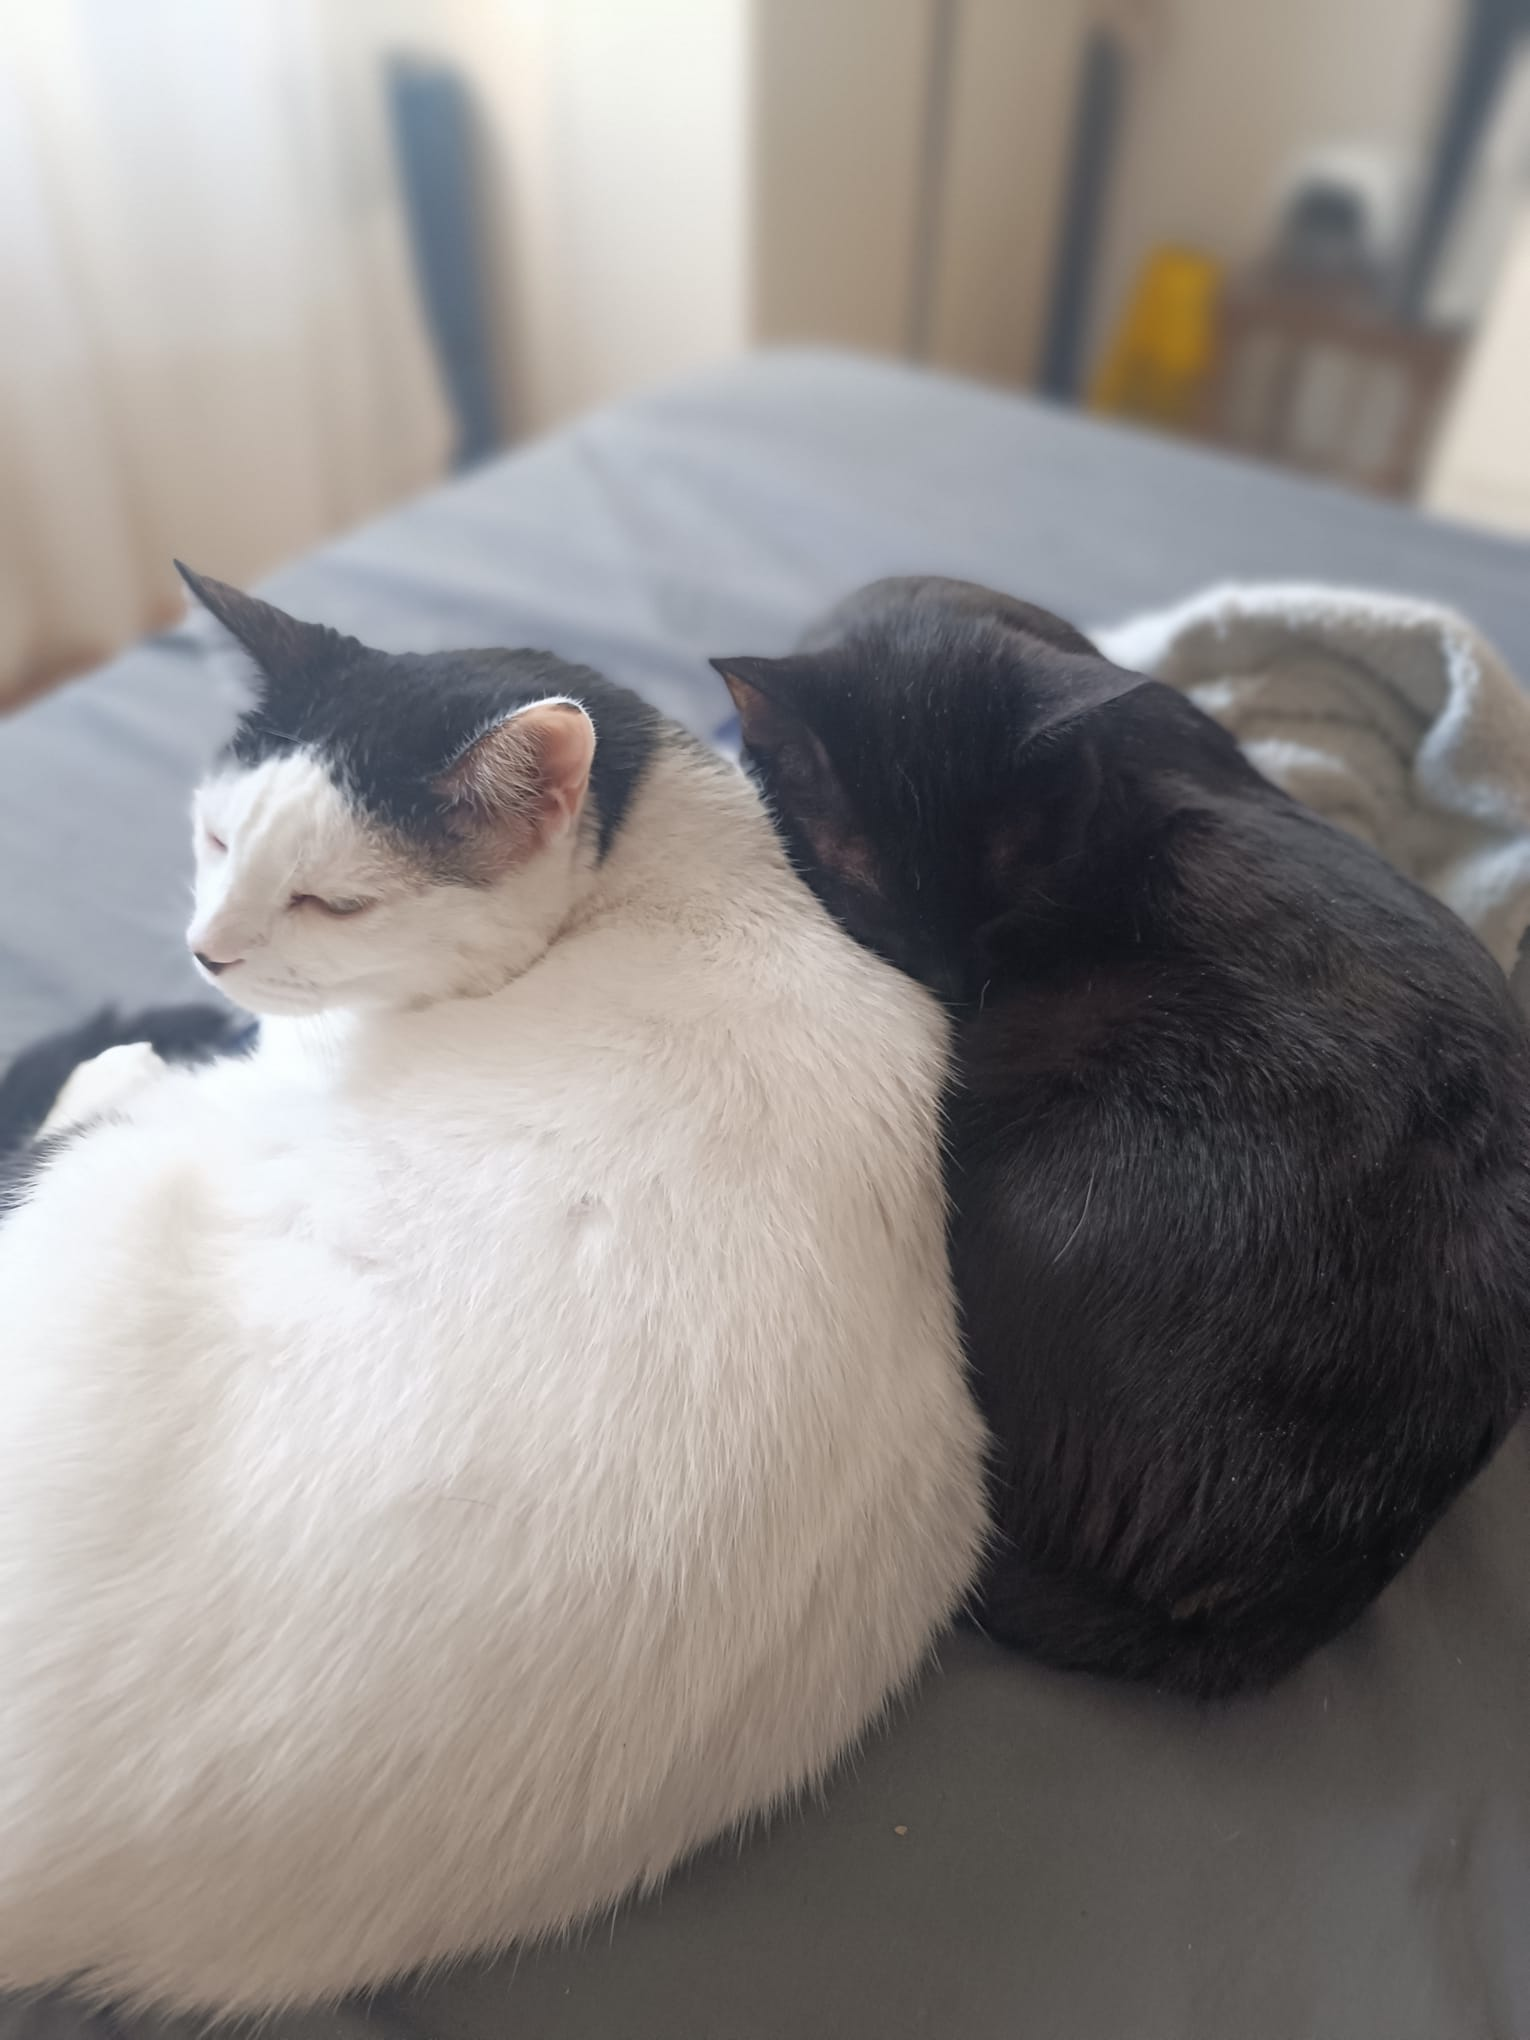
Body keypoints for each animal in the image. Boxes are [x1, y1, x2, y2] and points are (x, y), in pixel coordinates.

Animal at [0, 568, 987, 2012]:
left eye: (334, 903)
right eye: (217, 836)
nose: (205, 954)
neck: (699, 878)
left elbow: (129, 1073)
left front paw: (127, 1047)